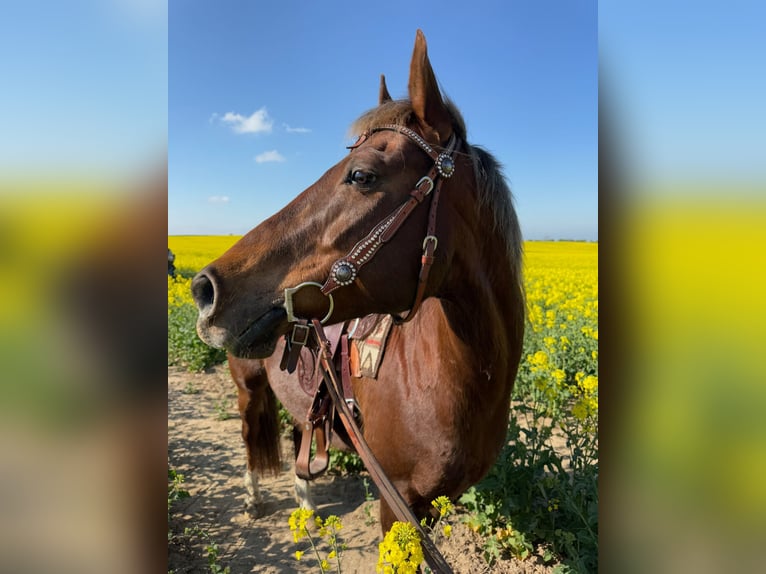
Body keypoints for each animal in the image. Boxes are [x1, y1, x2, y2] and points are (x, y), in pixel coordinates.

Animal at [192, 30, 525, 532]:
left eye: (362, 175)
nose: (206, 290)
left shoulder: (435, 505)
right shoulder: (397, 502)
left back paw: (306, 504)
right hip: (247, 386)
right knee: (250, 434)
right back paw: (254, 497)